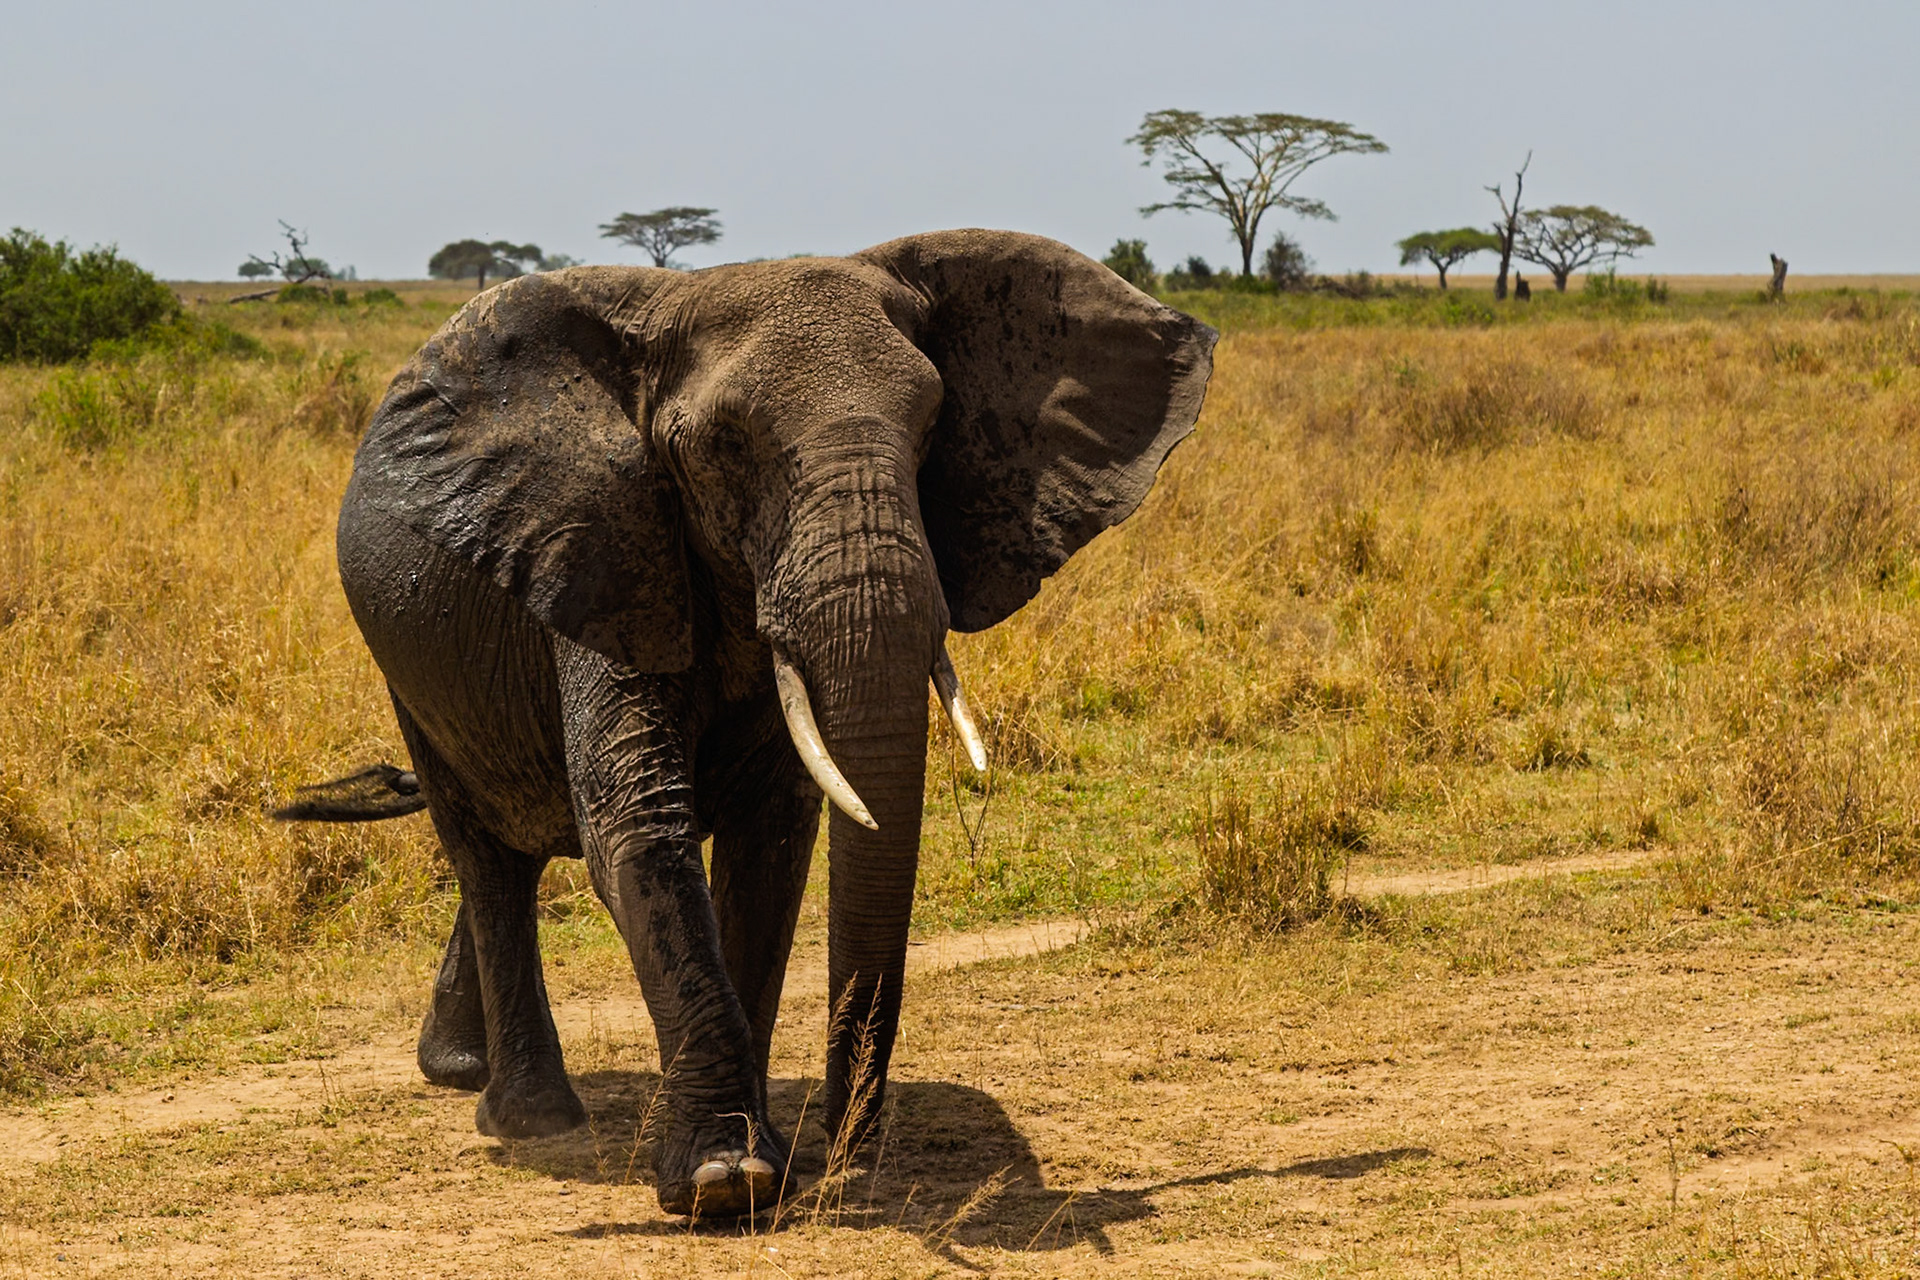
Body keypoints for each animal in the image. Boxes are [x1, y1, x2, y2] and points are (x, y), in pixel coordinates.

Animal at [308, 230, 1214, 1217]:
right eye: (722, 447)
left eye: (936, 425)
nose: (847, 1145)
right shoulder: (603, 542)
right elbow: (638, 821)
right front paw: (724, 1181)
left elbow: (774, 839)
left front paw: (756, 1155)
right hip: (405, 657)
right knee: (485, 854)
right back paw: (530, 1116)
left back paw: (460, 1067)